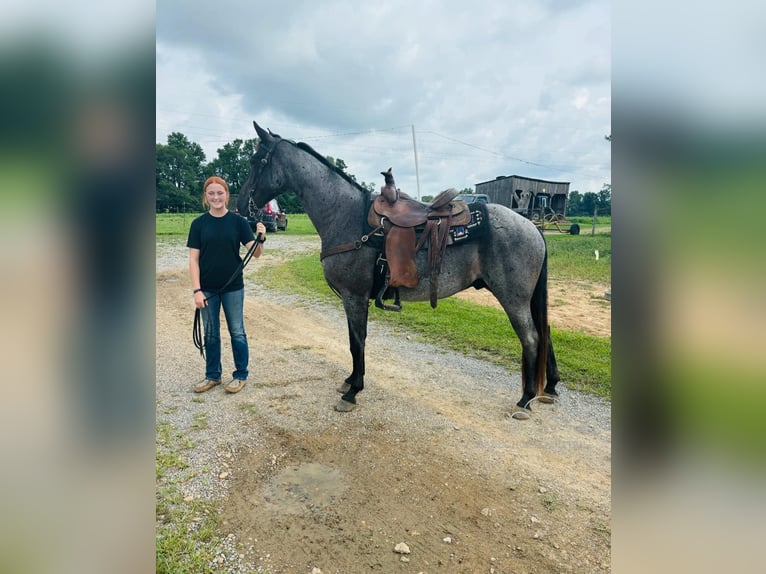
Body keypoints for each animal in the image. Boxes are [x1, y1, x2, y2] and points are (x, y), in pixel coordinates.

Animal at [240, 121, 564, 420]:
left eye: (256, 161)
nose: (242, 205)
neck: (345, 215)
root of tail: (532, 227)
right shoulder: (352, 298)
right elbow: (353, 340)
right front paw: (350, 381)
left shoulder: (354, 296)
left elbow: (357, 342)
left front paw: (353, 391)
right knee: (544, 332)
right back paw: (549, 388)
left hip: (513, 298)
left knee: (532, 338)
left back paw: (525, 400)